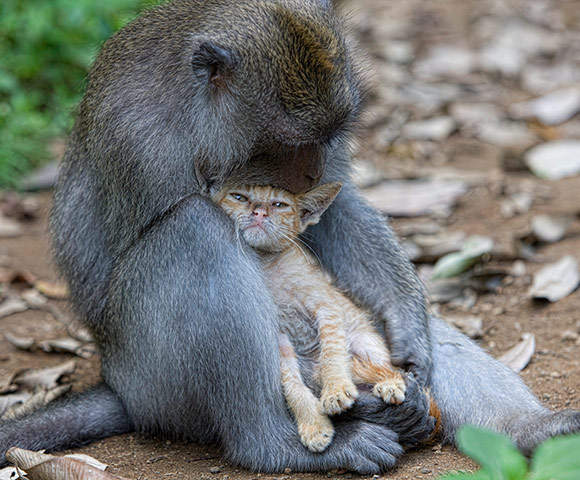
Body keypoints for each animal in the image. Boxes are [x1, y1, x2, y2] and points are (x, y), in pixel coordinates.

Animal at [211, 182, 406, 452]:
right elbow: (292, 386)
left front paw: (336, 390)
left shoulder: (327, 308)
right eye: (239, 197)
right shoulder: (279, 338)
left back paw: (390, 383)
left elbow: (332, 355)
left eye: (280, 204)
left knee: (390, 368)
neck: (268, 264)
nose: (259, 212)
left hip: (365, 341)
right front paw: (314, 425)